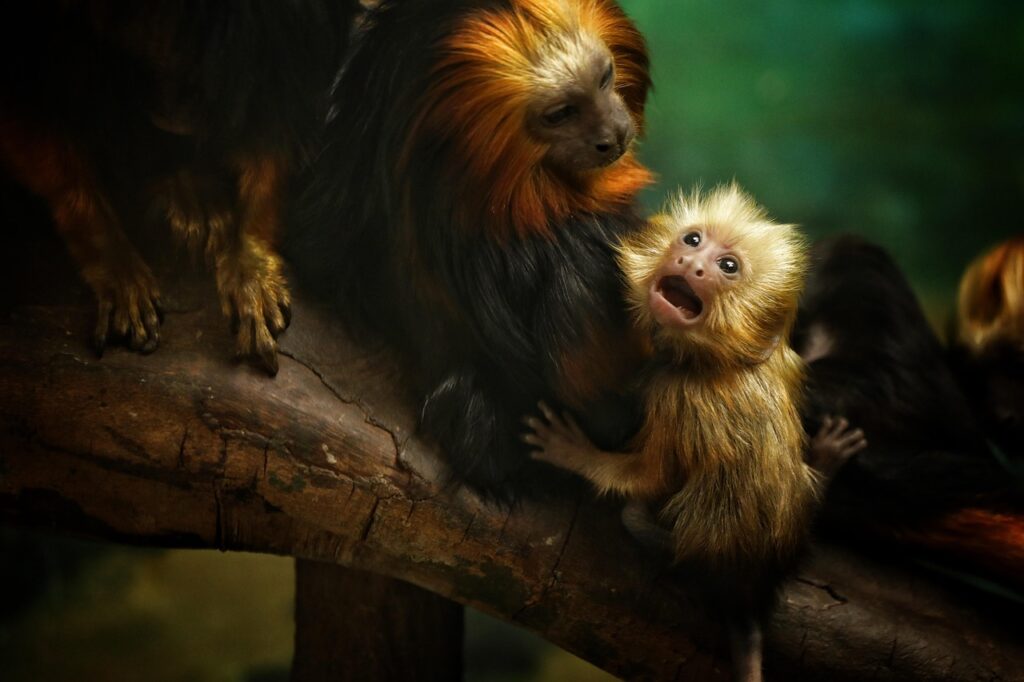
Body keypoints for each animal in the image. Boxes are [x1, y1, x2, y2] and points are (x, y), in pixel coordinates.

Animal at [523, 185, 820, 682]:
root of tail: (742, 582)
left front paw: (573, 453)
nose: (691, 263)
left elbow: (650, 476)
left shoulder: (676, 396)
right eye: (693, 239)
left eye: (728, 267)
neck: (720, 363)